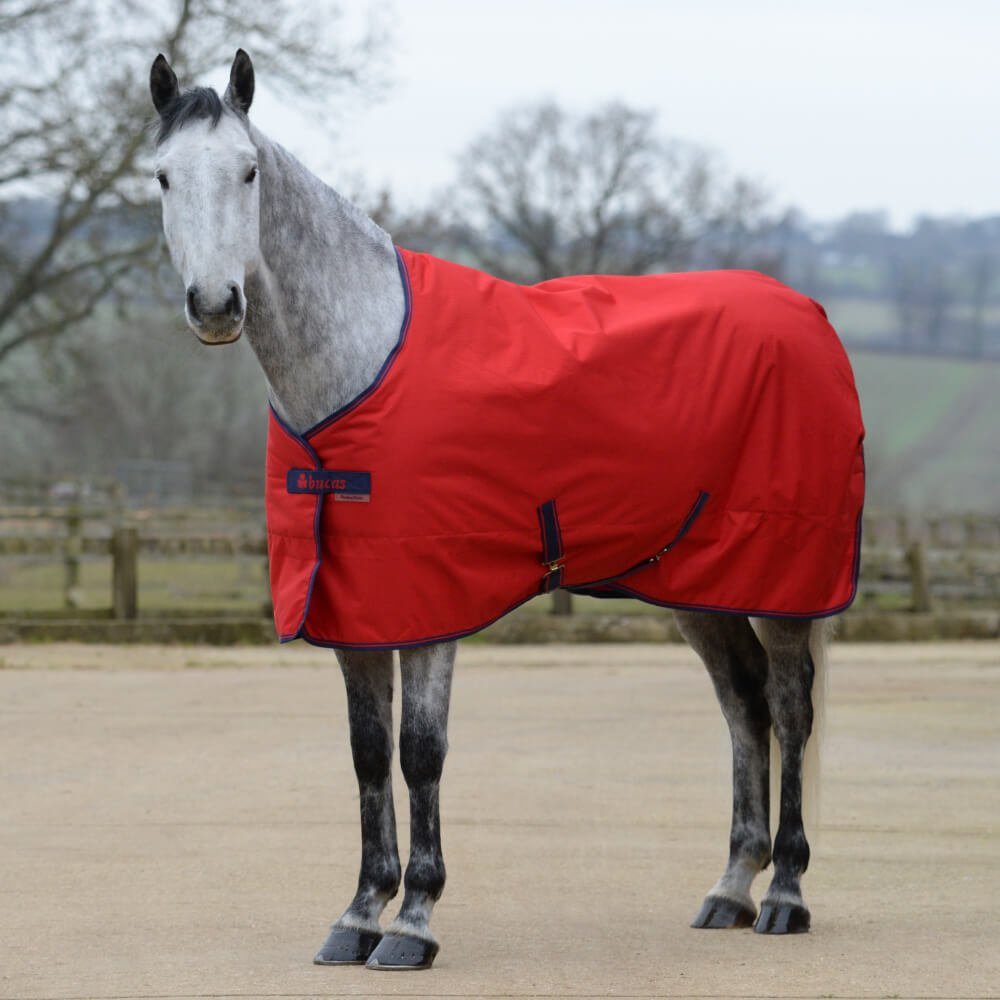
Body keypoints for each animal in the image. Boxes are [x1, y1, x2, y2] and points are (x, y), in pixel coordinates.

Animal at [149, 49, 856, 970]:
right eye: (163, 175)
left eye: (248, 170)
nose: (214, 306)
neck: (358, 362)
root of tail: (810, 317)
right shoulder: (356, 610)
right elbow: (368, 755)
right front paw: (358, 915)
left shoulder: (429, 606)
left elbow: (420, 753)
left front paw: (413, 922)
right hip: (699, 590)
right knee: (743, 707)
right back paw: (731, 889)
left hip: (780, 584)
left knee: (789, 709)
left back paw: (784, 895)